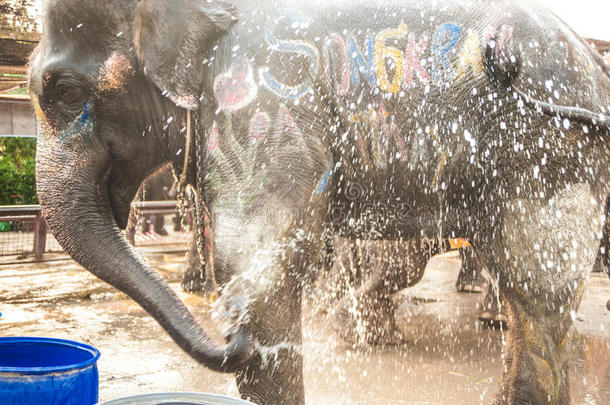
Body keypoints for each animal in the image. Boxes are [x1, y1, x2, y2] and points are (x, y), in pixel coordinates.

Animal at [29, 0, 608, 404]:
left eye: (63, 93)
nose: (231, 336)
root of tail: (592, 66)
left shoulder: (261, 100)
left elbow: (260, 262)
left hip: (549, 149)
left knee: (536, 291)